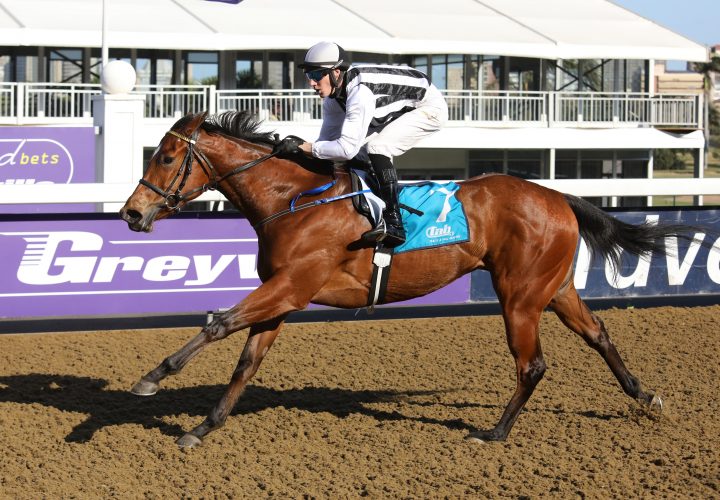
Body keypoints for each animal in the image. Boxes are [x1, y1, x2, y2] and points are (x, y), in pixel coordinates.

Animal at [121, 111, 688, 448]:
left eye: (166, 156)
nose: (130, 213)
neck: (294, 199)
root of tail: (558, 196)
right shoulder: (281, 298)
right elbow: (245, 364)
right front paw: (202, 427)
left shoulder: (290, 288)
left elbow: (218, 324)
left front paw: (152, 378)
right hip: (556, 289)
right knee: (598, 334)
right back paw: (645, 397)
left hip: (520, 297)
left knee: (532, 365)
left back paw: (495, 432)